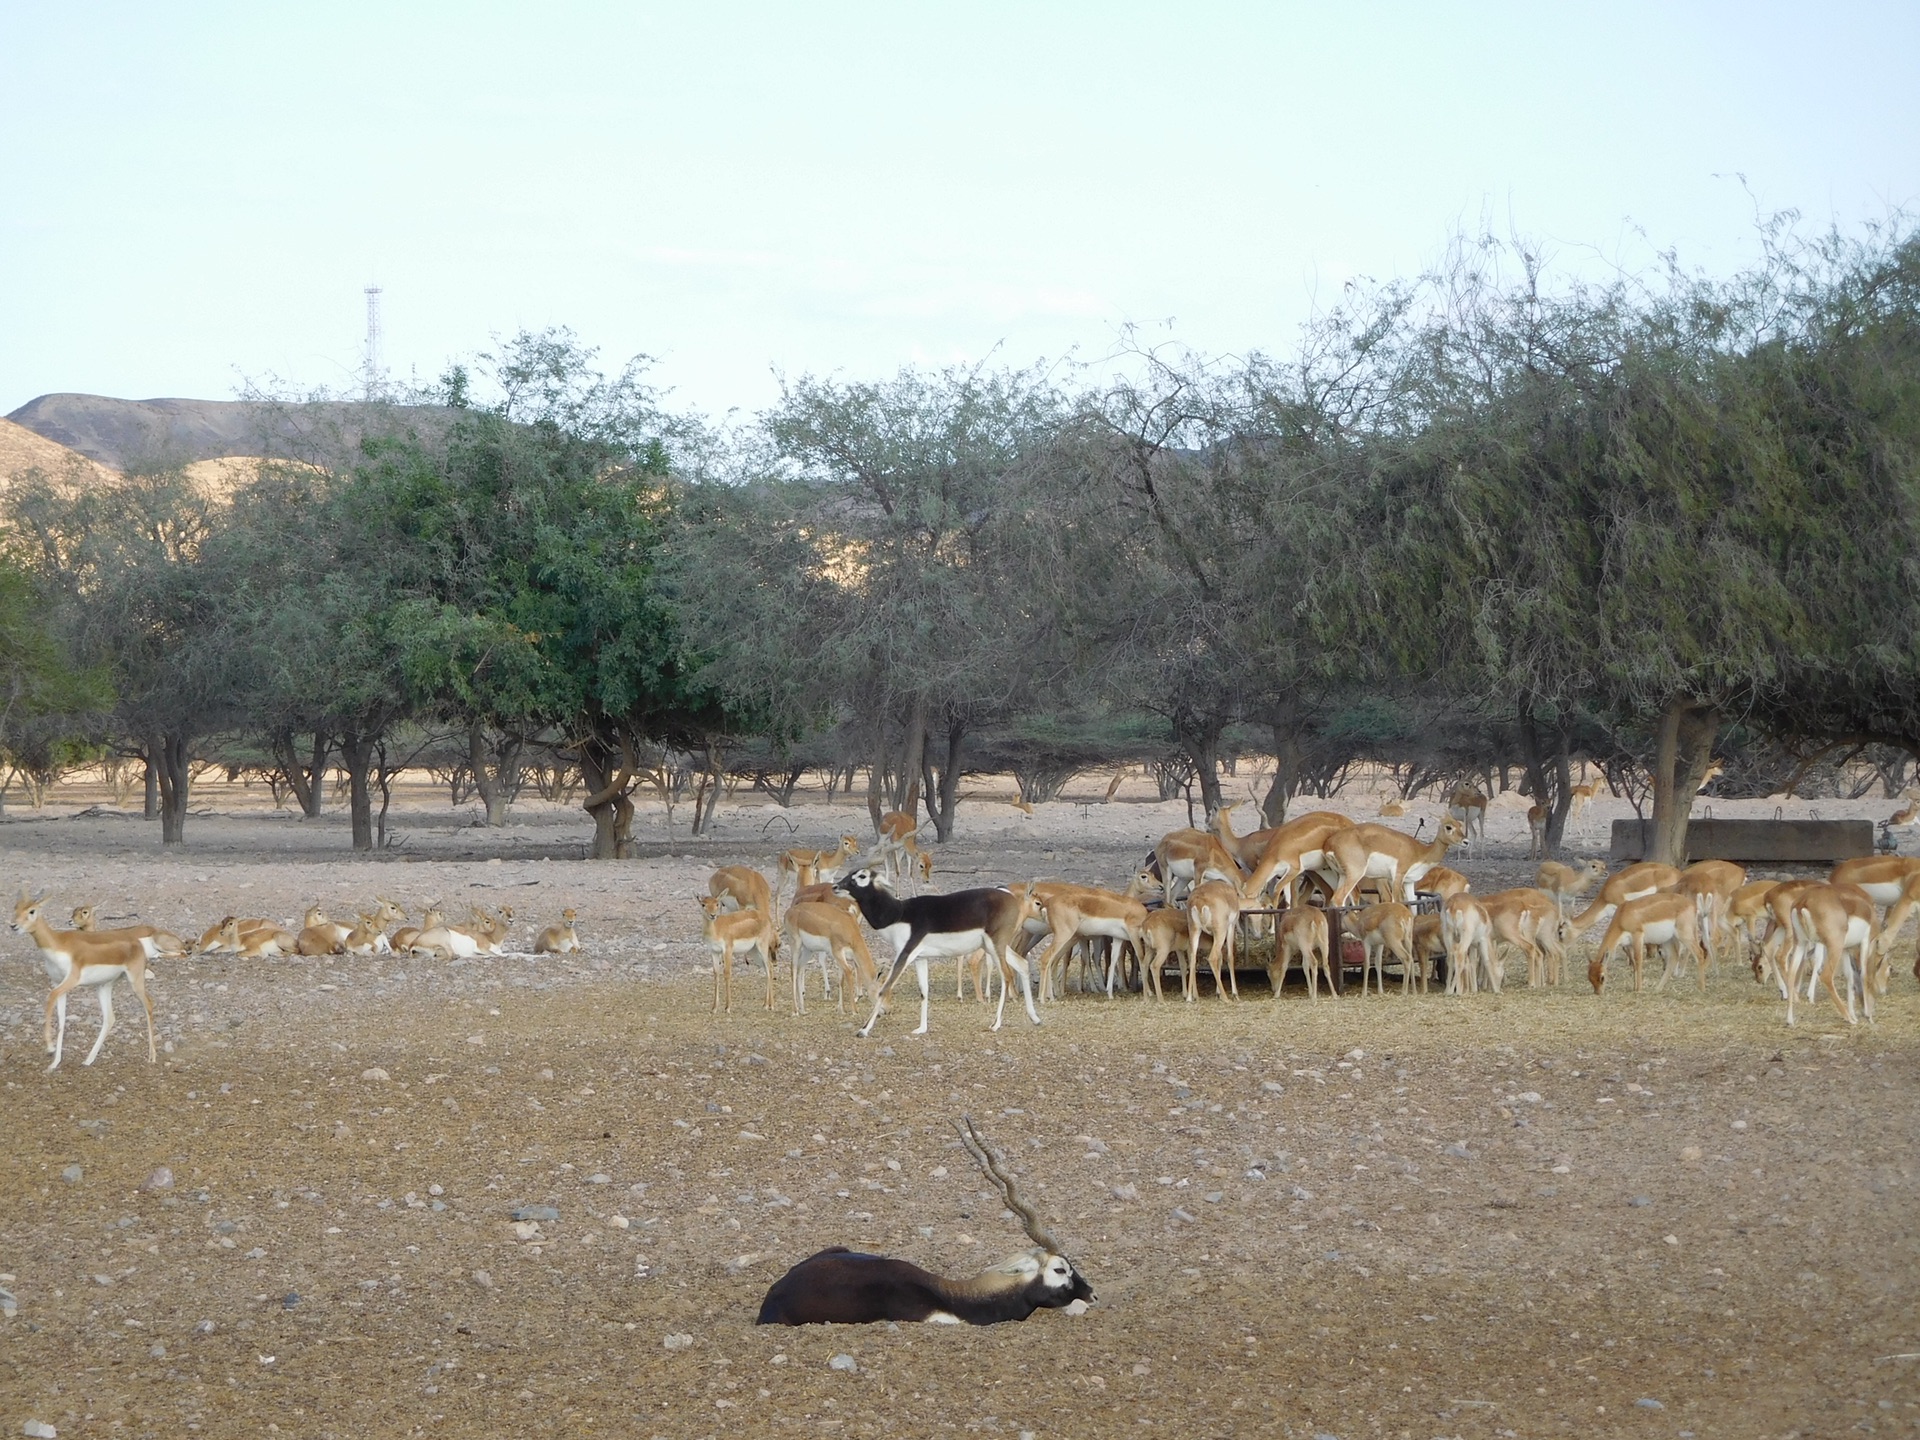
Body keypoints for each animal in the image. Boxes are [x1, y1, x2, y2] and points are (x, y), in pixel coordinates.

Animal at [837, 867, 1044, 1036]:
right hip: (993, 946)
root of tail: (1009, 897)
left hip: (995, 946)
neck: (899, 913)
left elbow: (884, 989)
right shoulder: (920, 958)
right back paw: (1035, 1018)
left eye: (861, 876)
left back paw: (996, 1024)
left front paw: (863, 1030)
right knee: (1022, 964)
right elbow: (924, 991)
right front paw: (921, 1028)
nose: (836, 886)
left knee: (1007, 975)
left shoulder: (905, 953)